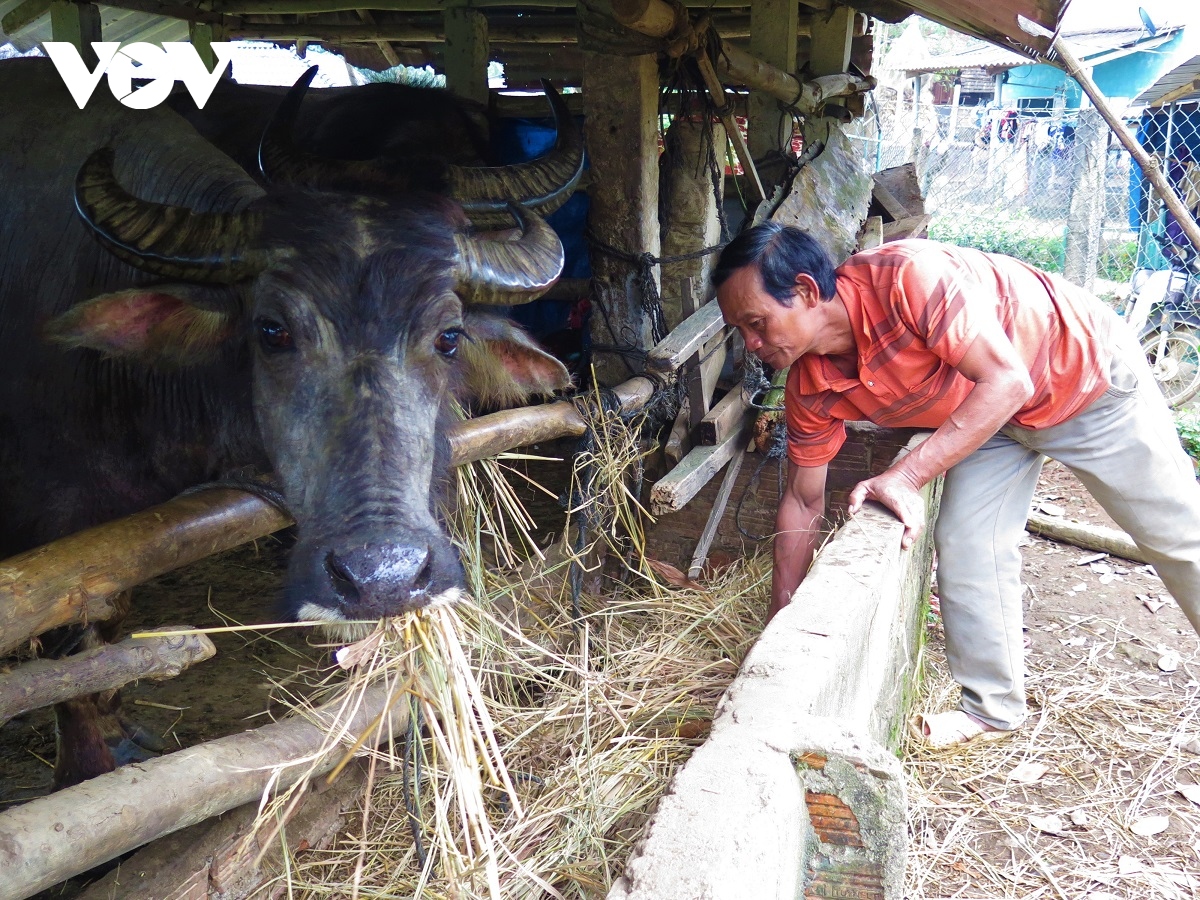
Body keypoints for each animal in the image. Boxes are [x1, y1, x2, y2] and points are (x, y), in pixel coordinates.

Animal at [0, 60, 580, 787]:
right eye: (271, 331)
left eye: (449, 337)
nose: (383, 579)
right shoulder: (54, 527)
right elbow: (73, 655)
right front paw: (87, 765)